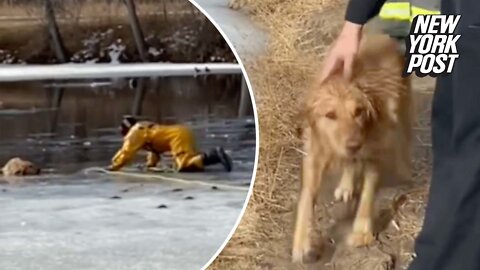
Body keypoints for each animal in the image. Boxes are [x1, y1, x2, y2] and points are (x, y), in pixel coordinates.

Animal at [290, 34, 414, 262]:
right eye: (330, 115)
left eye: (359, 111)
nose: (354, 144)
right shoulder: (314, 152)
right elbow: (306, 198)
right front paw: (302, 241)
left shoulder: (374, 150)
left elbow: (367, 193)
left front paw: (361, 232)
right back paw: (346, 185)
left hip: (402, 106)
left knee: (404, 133)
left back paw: (404, 167)